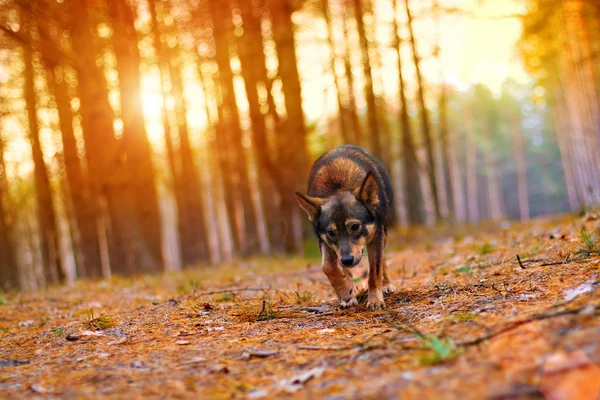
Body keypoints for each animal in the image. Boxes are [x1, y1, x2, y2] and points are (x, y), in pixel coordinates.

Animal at [294, 145, 396, 310]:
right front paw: (346, 293)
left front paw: (375, 300)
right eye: (331, 232)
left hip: (383, 232)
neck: (339, 186)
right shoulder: (324, 241)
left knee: (383, 258)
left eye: (355, 227)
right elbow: (329, 267)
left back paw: (386, 284)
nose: (347, 260)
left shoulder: (376, 236)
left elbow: (374, 271)